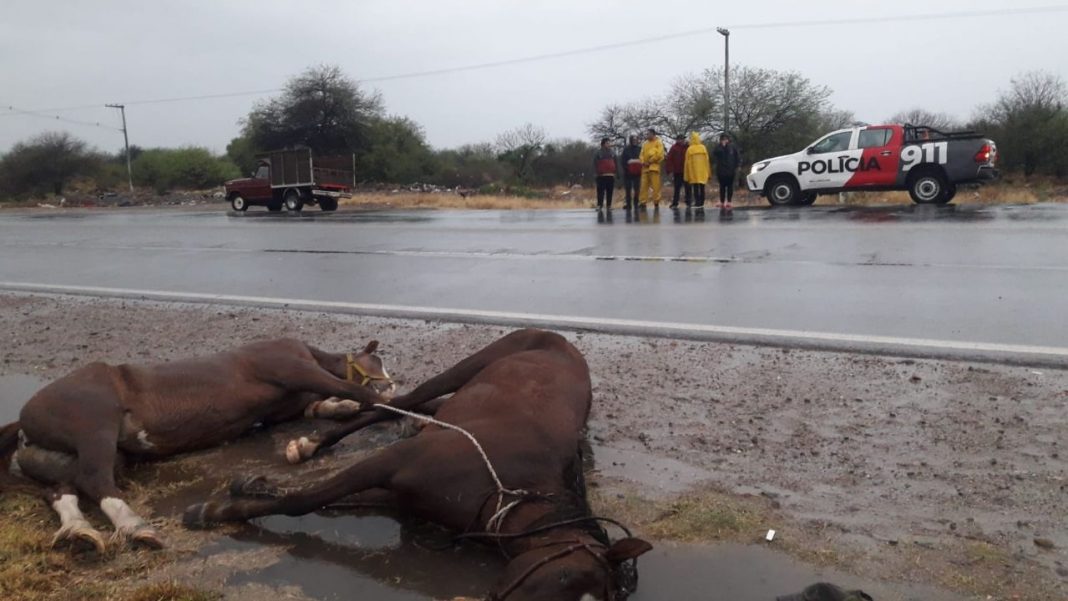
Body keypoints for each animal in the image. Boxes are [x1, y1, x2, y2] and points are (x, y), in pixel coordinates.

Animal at [0, 337, 393, 550]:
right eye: (377, 360)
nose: (389, 383)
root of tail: (24, 420)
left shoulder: (287, 409)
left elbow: (323, 406)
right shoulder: (291, 367)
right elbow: (348, 388)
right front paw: (382, 401)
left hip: (76, 457)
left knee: (62, 490)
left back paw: (79, 532)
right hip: (95, 425)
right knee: (94, 479)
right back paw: (137, 528)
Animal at [183, 328, 649, 601]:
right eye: (569, 580)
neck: (509, 493)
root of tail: (560, 339)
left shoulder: (398, 495)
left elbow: (322, 500)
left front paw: (249, 490)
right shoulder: (392, 463)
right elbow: (304, 501)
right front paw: (219, 510)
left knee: (416, 408)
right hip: (467, 367)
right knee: (392, 402)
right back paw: (313, 443)